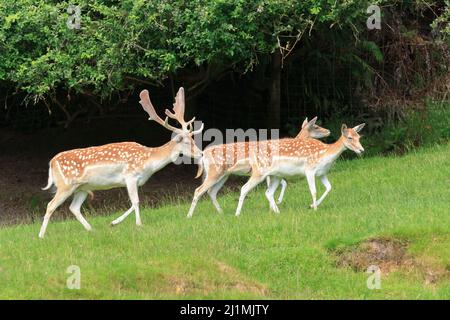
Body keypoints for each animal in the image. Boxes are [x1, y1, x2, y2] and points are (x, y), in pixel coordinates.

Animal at [38, 87, 204, 238]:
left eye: (193, 139)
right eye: (187, 142)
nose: (201, 153)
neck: (148, 162)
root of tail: (52, 163)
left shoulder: (134, 181)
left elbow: (133, 203)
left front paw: (113, 223)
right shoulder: (130, 176)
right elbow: (136, 201)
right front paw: (139, 224)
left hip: (82, 188)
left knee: (74, 208)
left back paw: (92, 230)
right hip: (65, 185)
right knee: (50, 205)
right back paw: (41, 236)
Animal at [186, 117, 330, 218]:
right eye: (316, 126)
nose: (328, 130)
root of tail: (203, 154)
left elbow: (275, 187)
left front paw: (273, 207)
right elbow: (279, 186)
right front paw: (275, 205)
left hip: (223, 175)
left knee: (211, 192)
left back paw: (221, 212)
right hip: (214, 172)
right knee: (198, 190)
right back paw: (189, 216)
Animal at [236, 124, 366, 216]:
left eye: (359, 137)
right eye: (350, 137)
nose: (362, 150)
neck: (325, 155)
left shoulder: (322, 173)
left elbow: (329, 187)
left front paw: (311, 205)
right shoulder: (309, 170)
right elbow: (313, 191)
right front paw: (315, 209)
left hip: (276, 176)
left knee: (268, 192)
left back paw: (277, 212)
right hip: (260, 172)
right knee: (244, 188)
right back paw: (237, 214)